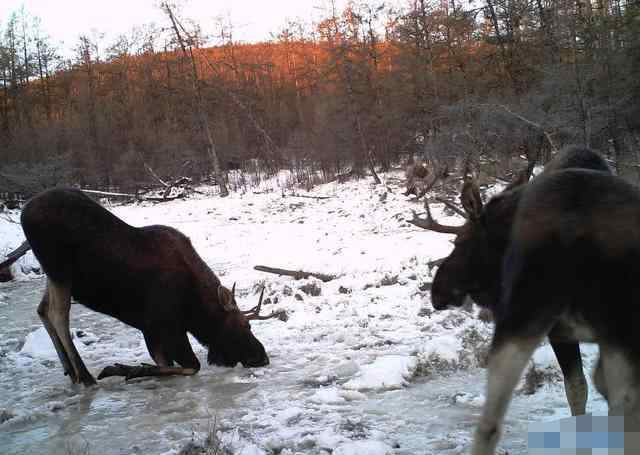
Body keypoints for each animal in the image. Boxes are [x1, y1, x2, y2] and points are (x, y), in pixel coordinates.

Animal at [21, 187, 280, 386]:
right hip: (59, 271)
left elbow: (166, 364)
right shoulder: (163, 324)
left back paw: (70, 371)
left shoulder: (151, 329)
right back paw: (85, 376)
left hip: (54, 275)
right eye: (245, 325)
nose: (262, 357)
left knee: (42, 309)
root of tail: (24, 212)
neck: (195, 308)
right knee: (58, 314)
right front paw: (127, 369)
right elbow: (191, 366)